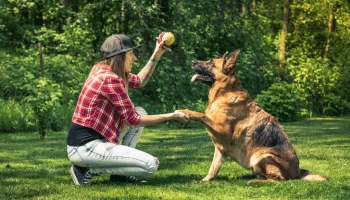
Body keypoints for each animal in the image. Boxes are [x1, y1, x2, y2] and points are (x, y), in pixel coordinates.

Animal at [179, 50, 326, 183]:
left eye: (210, 62)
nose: (192, 62)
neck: (225, 92)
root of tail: (297, 173)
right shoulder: (220, 148)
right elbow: (213, 168)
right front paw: (206, 180)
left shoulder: (223, 132)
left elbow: (202, 115)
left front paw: (185, 112)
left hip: (259, 156)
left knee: (275, 180)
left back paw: (255, 181)